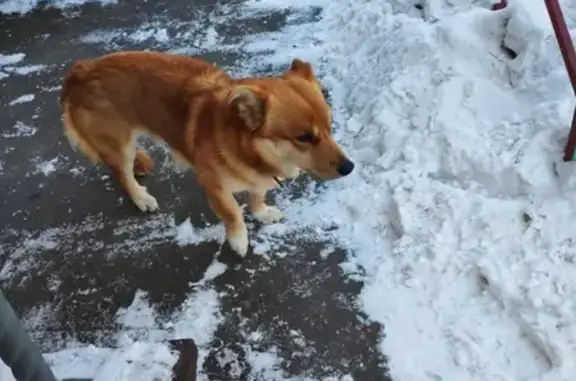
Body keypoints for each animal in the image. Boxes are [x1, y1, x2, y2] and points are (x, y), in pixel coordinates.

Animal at [59, 50, 356, 256]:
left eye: (330, 128)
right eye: (304, 137)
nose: (350, 168)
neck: (249, 151)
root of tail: (82, 69)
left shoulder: (259, 178)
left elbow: (257, 195)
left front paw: (261, 212)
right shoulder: (214, 186)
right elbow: (233, 213)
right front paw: (239, 240)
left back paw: (141, 163)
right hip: (120, 144)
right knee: (121, 174)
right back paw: (140, 196)